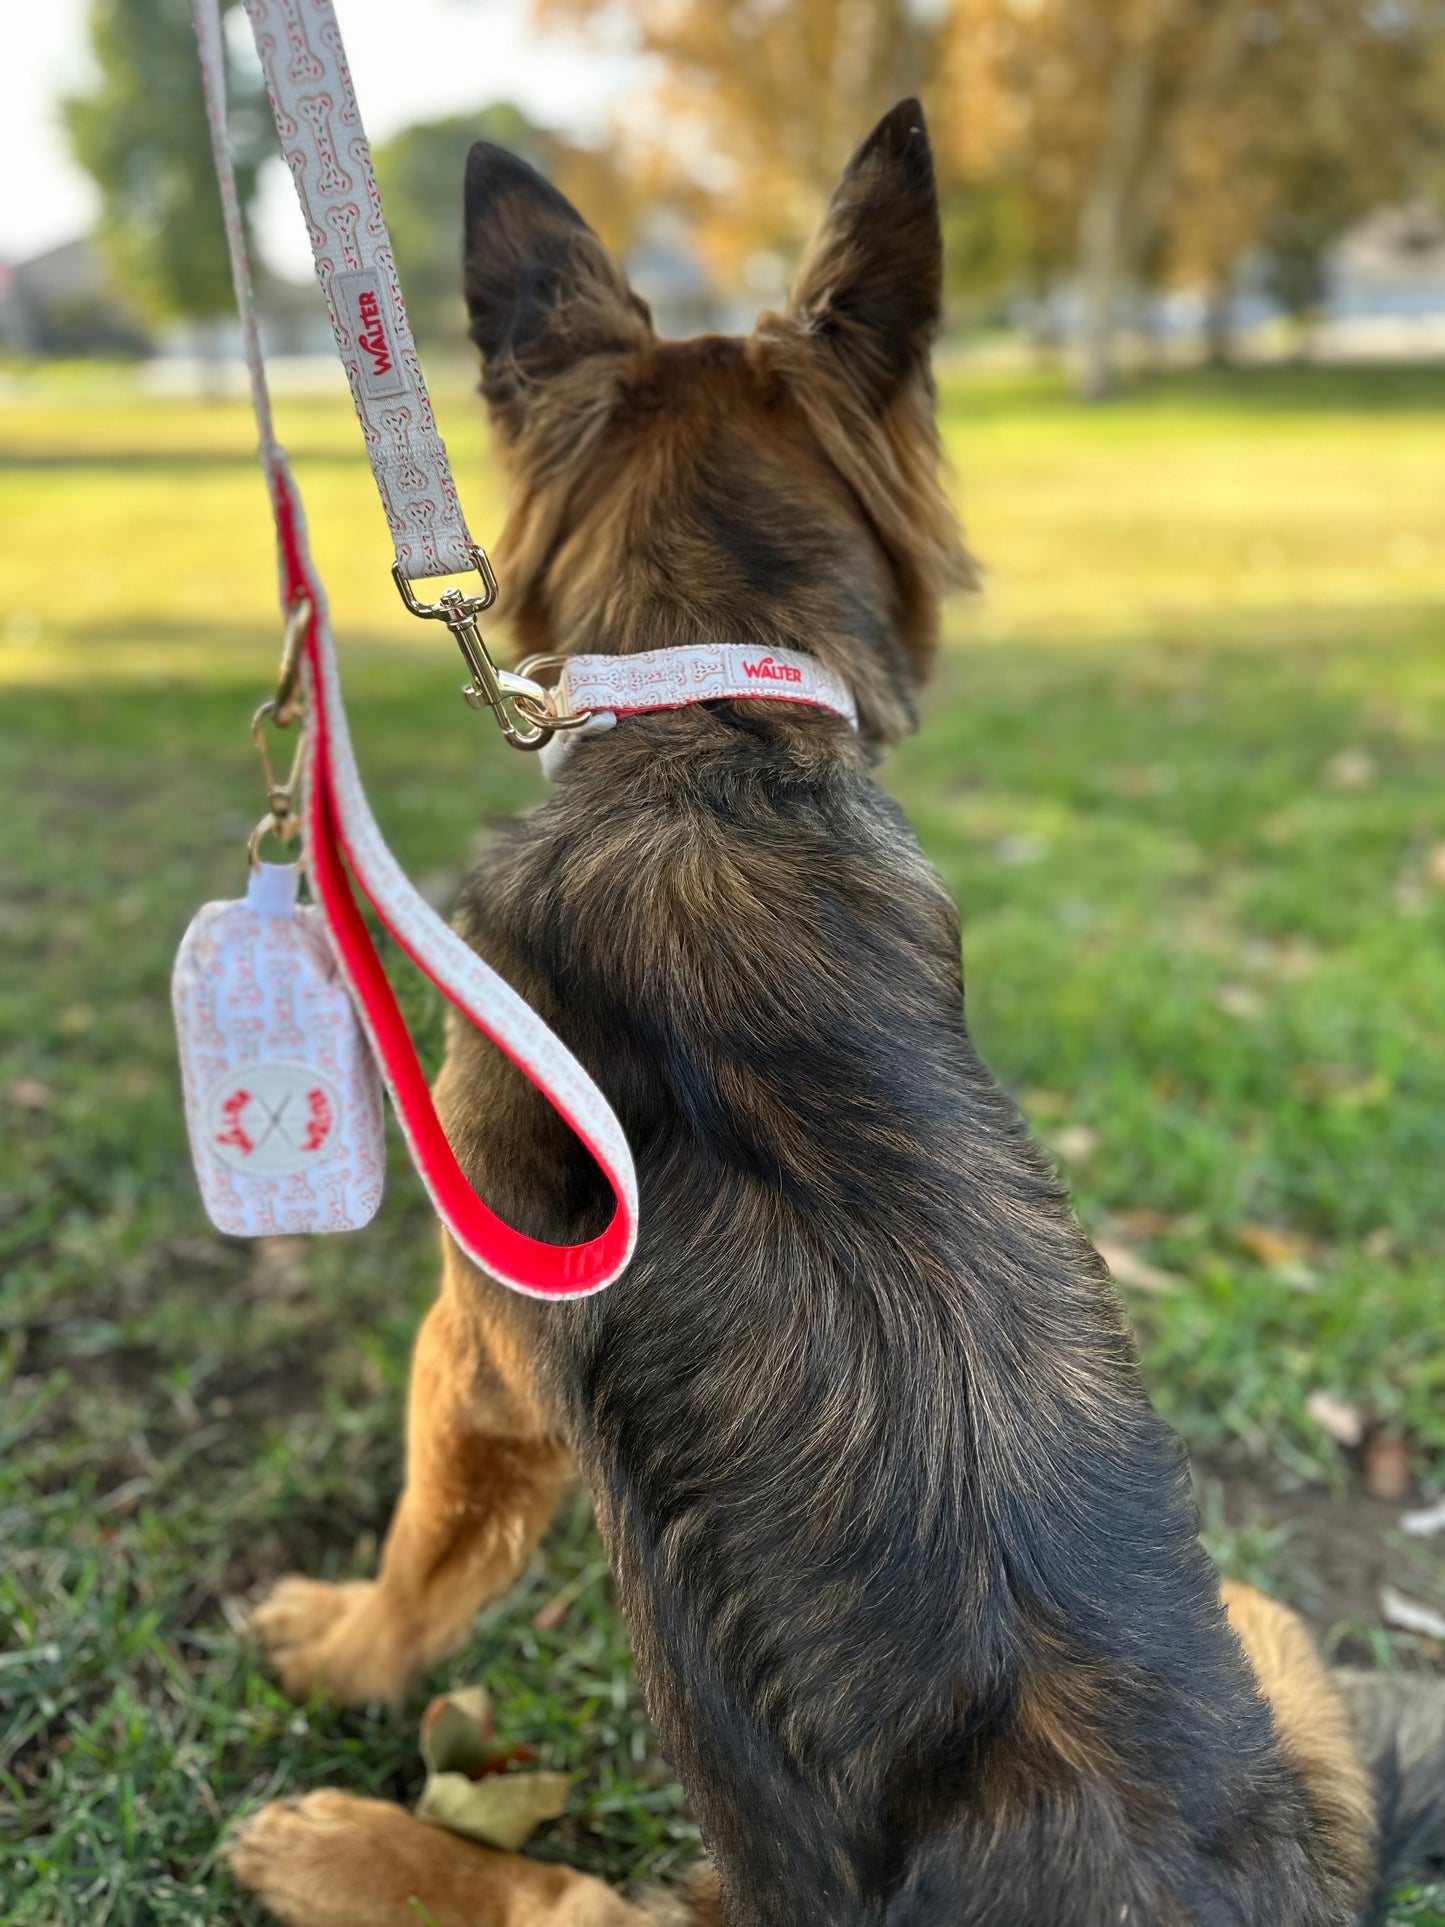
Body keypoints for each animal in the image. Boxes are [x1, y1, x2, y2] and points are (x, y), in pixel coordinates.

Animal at [229, 101, 1445, 1927]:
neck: (715, 736)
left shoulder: (481, 1340)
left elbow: (424, 1550)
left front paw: (343, 1649)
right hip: (1276, 1641)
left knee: (543, 1893)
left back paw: (340, 1843)